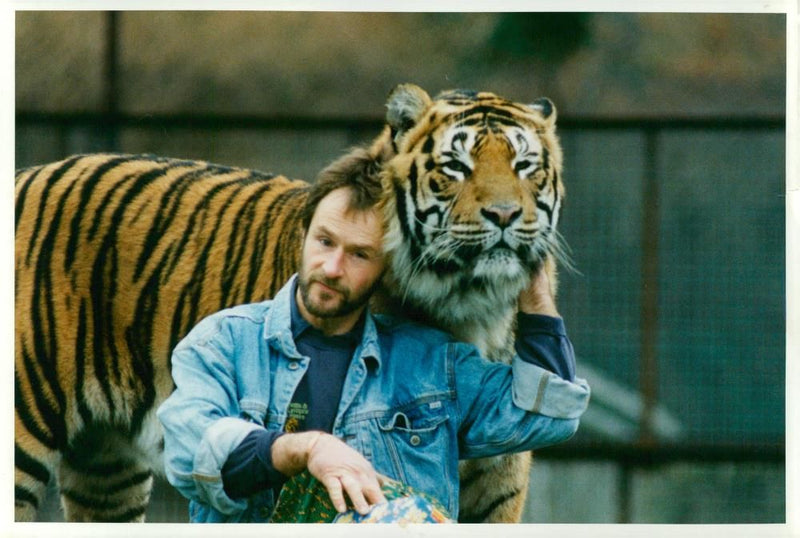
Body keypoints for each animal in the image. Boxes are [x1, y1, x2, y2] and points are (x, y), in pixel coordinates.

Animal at [10, 81, 564, 520]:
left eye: (524, 165)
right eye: (455, 166)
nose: (504, 215)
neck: (473, 306)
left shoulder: (498, 476)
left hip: (107, 468)